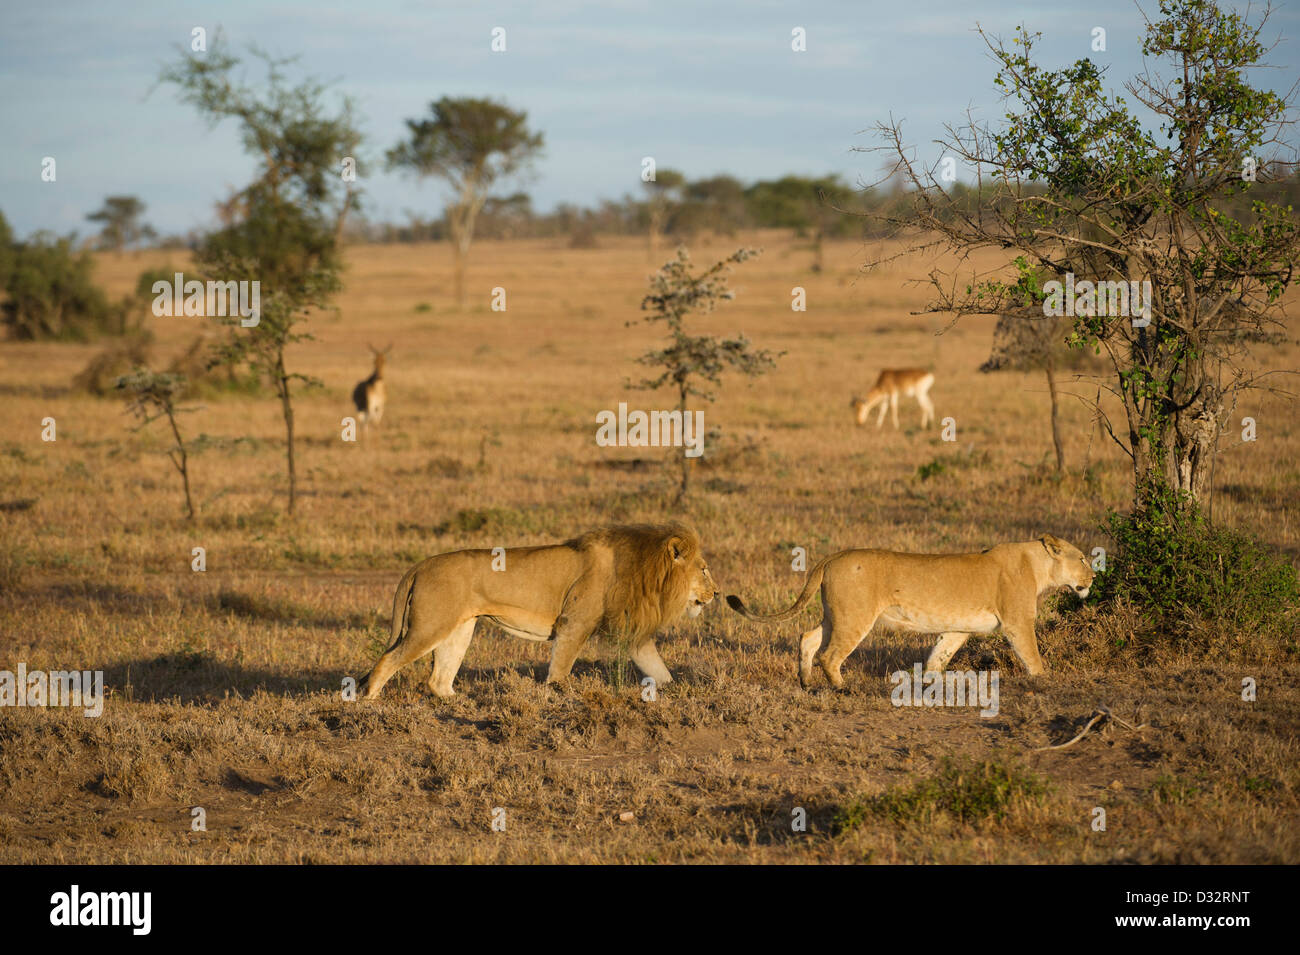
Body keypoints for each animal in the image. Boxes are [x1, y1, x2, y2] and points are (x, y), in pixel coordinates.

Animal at [356, 522, 717, 701]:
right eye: (703, 569)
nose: (716, 594)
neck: (646, 570)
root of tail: (420, 565)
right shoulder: (574, 623)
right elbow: (561, 666)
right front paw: (558, 693)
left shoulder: (631, 634)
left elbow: (658, 669)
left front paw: (673, 690)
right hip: (429, 626)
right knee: (386, 661)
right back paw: (370, 704)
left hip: (459, 628)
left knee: (438, 678)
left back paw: (459, 704)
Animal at [728, 537, 1092, 686]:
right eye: (1082, 558)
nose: (1094, 577)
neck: (1038, 564)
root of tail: (833, 556)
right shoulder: (1017, 621)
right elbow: (1033, 656)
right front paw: (1045, 681)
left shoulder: (958, 628)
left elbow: (939, 656)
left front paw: (929, 683)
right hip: (855, 617)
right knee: (829, 655)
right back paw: (841, 687)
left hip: (835, 615)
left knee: (807, 637)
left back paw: (805, 683)